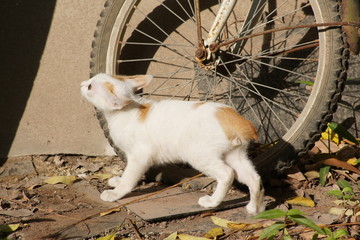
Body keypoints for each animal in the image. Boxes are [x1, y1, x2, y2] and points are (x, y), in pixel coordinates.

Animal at [82, 72, 268, 214]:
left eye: (90, 87)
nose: (82, 83)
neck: (124, 113)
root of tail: (236, 119)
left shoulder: (140, 156)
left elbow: (130, 177)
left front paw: (116, 193)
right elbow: (126, 174)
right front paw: (118, 182)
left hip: (199, 155)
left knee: (227, 174)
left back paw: (212, 202)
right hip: (235, 155)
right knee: (254, 177)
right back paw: (255, 208)